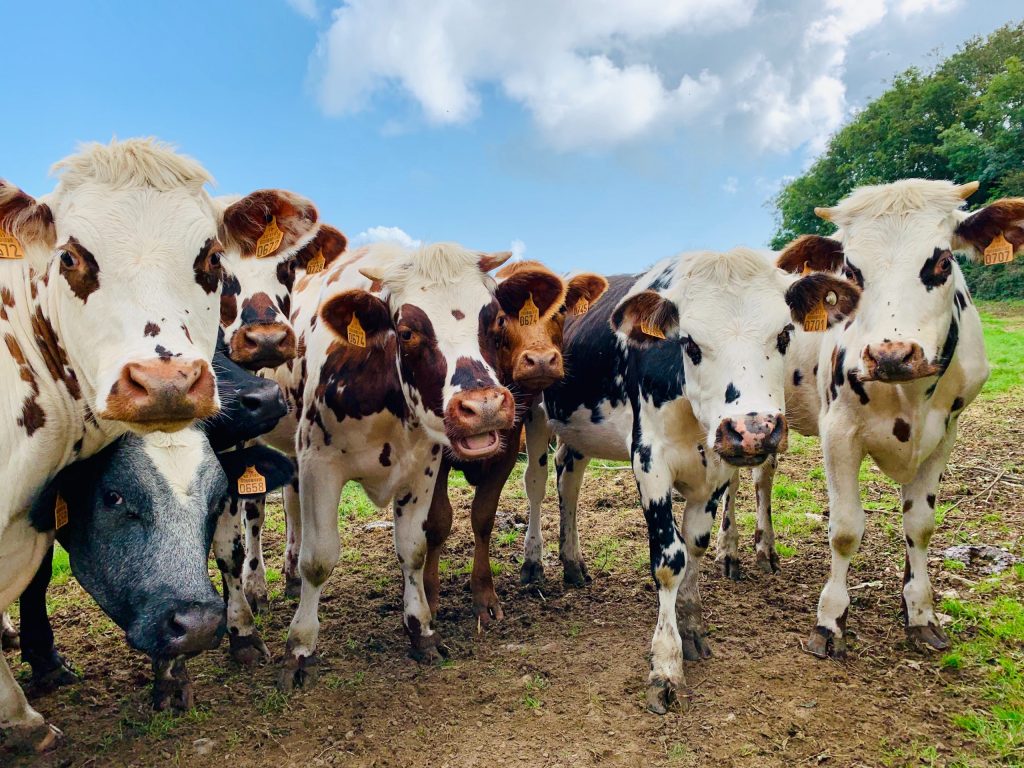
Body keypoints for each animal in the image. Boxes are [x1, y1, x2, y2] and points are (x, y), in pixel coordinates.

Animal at [267, 240, 548, 691]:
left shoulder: (423, 468)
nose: (484, 407)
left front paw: (422, 630)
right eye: (407, 332)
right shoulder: (318, 466)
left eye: (498, 320)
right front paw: (299, 649)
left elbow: (414, 549)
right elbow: (319, 559)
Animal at [423, 262, 608, 626]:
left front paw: (484, 596)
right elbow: (438, 521)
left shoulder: (508, 448)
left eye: (561, 311)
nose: (541, 360)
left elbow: (483, 517)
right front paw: (430, 598)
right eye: (501, 317)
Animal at [521, 249, 859, 713]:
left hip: (578, 432)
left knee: (568, 480)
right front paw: (666, 664)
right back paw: (534, 562)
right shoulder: (649, 460)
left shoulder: (716, 470)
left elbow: (695, 545)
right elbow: (670, 559)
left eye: (784, 336)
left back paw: (572, 562)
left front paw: (692, 626)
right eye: (690, 343)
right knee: (536, 483)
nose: (752, 429)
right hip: (534, 414)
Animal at [762, 179, 1004, 660]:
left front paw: (921, 613)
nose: (891, 354)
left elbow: (920, 525)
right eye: (851, 271)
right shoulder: (838, 432)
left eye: (942, 261)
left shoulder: (945, 434)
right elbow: (845, 529)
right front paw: (830, 621)